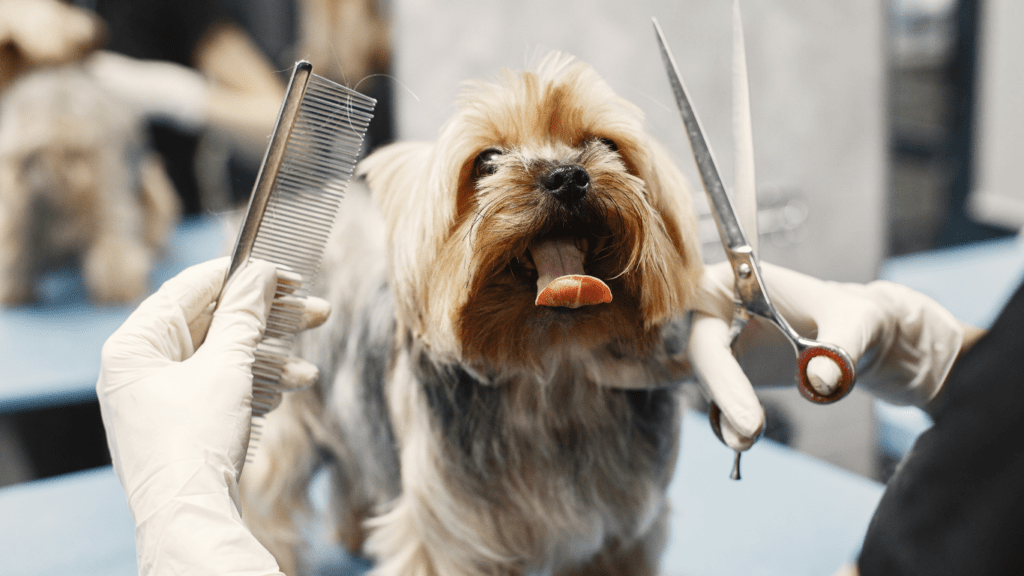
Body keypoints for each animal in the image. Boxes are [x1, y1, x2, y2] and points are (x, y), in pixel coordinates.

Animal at [241, 51, 704, 569]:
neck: (552, 368)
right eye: (486, 161)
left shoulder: (625, 532)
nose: (567, 176)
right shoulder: (449, 533)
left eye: (606, 144)